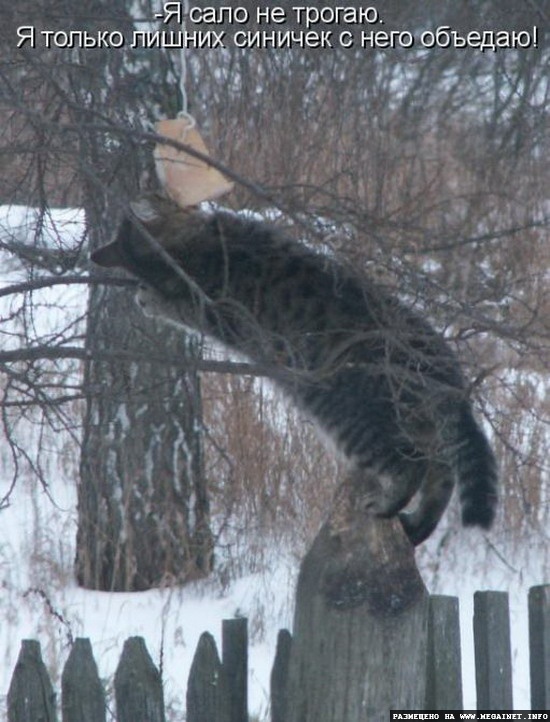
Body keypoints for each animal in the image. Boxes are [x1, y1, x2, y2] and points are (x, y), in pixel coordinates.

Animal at [91, 194, 500, 544]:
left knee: (410, 465)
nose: (95, 255)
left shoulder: (221, 312)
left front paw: (154, 298)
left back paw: (390, 504)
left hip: (347, 413)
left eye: (117, 242)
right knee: (440, 474)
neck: (206, 241)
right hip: (414, 424)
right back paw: (420, 523)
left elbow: (184, 307)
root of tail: (443, 366)